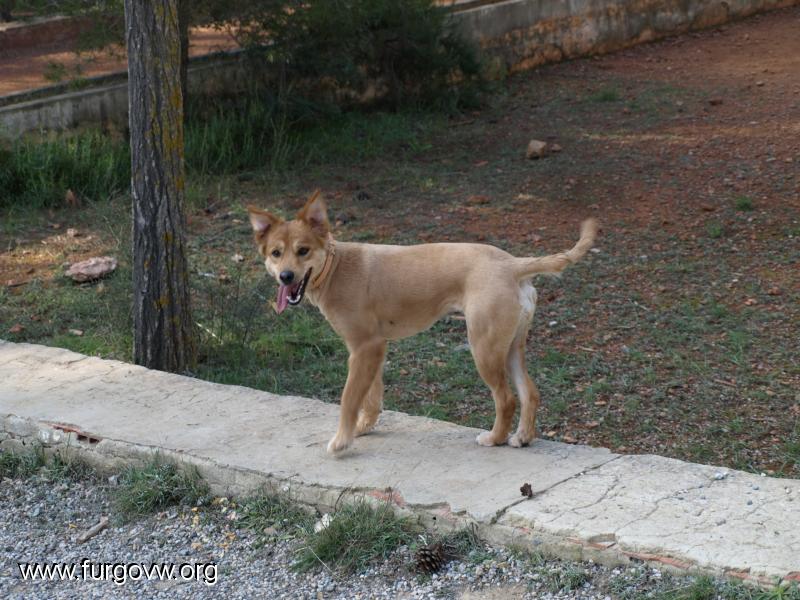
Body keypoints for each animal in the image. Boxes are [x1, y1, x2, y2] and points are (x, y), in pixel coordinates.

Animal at [248, 191, 598, 453]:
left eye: (303, 250)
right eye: (276, 253)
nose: (285, 276)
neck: (335, 268)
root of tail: (512, 264)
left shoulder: (364, 348)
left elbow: (348, 399)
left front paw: (342, 441)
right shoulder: (372, 349)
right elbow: (370, 396)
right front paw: (363, 428)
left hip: (484, 348)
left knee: (507, 398)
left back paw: (494, 438)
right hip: (511, 347)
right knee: (530, 393)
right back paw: (522, 437)